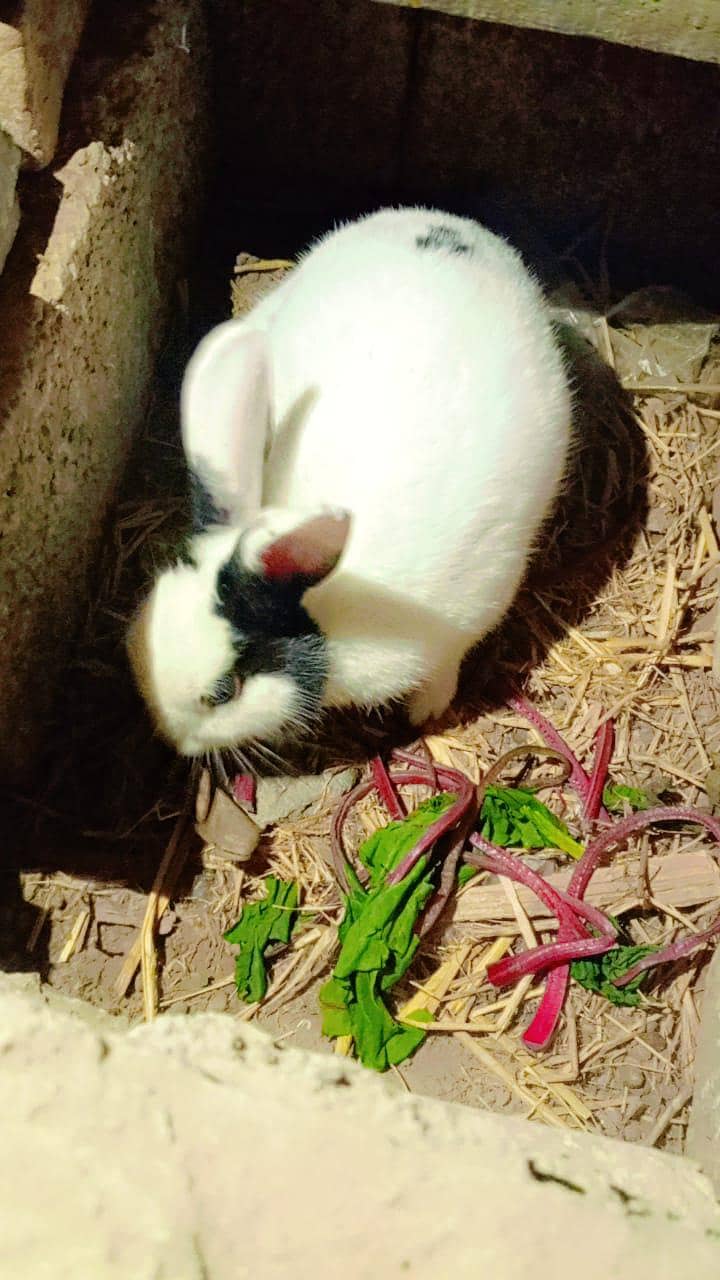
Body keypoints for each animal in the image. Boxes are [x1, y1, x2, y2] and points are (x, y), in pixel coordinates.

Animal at [127, 207, 572, 769]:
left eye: (224, 692)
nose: (172, 736)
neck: (325, 609)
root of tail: (452, 227)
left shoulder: (465, 618)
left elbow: (446, 665)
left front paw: (426, 710)